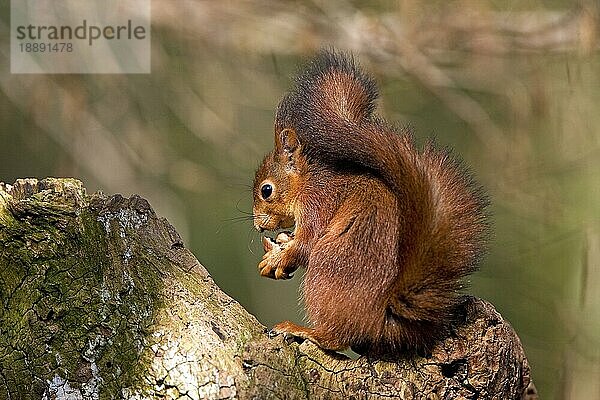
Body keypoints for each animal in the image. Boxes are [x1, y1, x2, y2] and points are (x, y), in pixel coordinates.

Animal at [253, 51, 488, 354]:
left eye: (266, 190)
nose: (258, 227)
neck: (308, 181)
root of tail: (381, 319)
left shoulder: (318, 202)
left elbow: (306, 243)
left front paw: (280, 255)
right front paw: (281, 241)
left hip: (328, 269)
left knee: (338, 336)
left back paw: (303, 330)